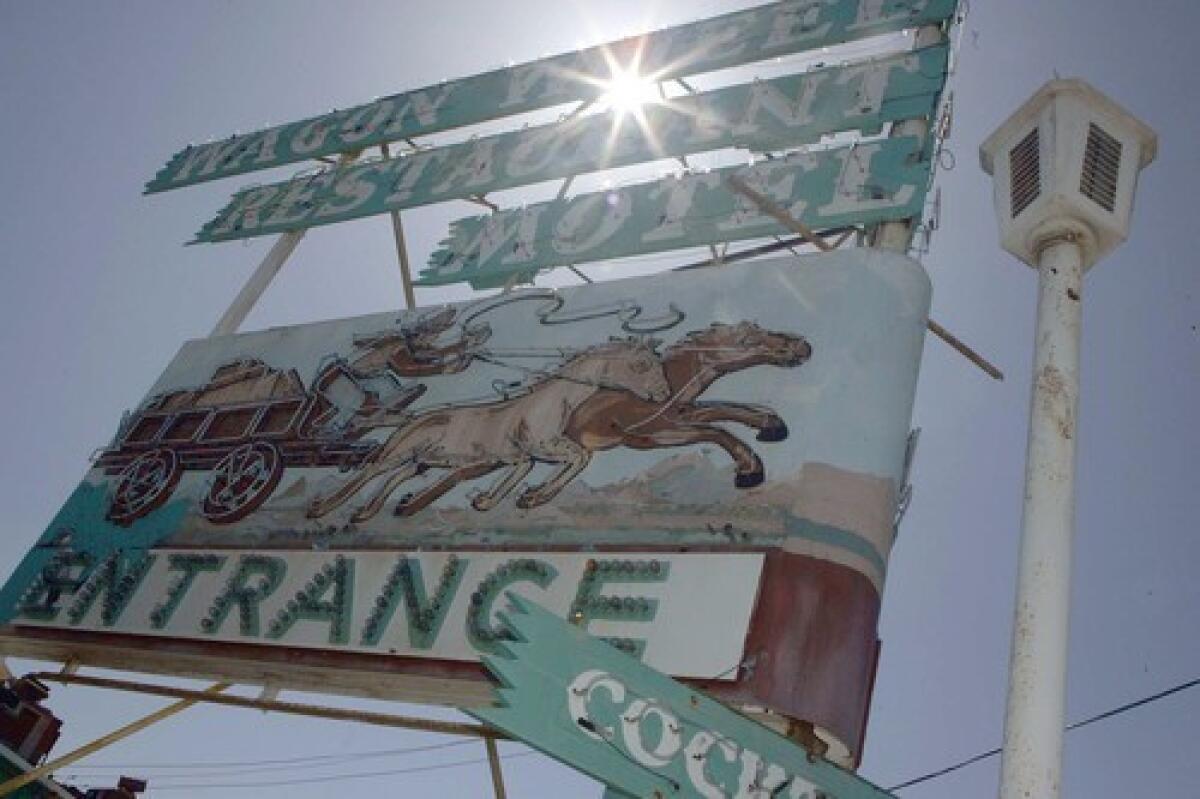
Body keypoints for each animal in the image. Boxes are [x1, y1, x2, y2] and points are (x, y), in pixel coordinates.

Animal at [304, 338, 672, 520]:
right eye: (642, 364)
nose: (664, 394)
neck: (552, 401)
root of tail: (411, 419)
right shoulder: (542, 446)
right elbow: (580, 456)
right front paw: (533, 496)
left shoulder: (517, 456)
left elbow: (530, 469)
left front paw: (497, 499)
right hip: (401, 451)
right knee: (371, 471)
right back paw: (325, 506)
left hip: (423, 460)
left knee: (396, 477)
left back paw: (369, 511)